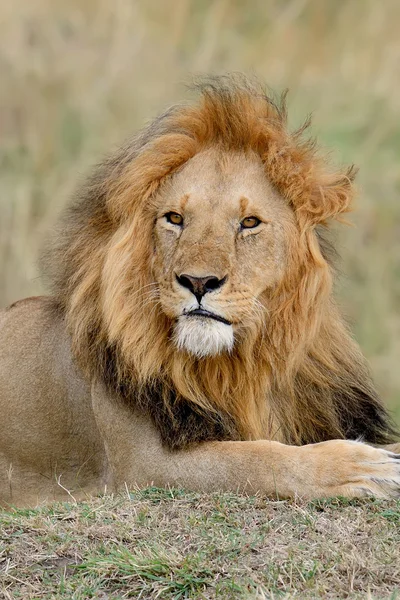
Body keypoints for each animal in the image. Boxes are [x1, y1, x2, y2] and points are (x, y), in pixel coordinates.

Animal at [0, 75, 400, 506]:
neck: (239, 365)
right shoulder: (142, 465)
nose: (198, 282)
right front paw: (355, 465)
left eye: (249, 222)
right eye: (175, 218)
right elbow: (254, 458)